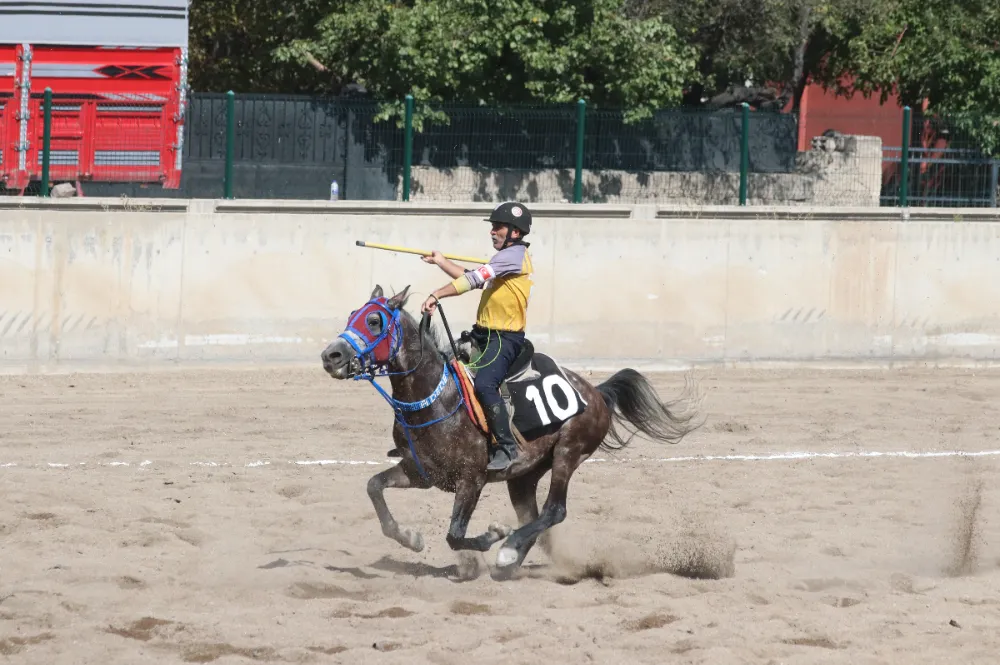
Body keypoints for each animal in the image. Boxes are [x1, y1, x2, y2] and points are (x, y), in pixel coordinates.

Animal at [322, 282, 704, 580]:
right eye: (352, 315)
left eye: (374, 321)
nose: (331, 355)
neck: (438, 400)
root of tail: (596, 393)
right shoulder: (419, 472)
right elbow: (374, 487)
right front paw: (411, 538)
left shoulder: (471, 480)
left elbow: (455, 535)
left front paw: (493, 537)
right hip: (523, 476)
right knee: (534, 518)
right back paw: (511, 560)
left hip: (568, 453)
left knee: (554, 511)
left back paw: (508, 551)